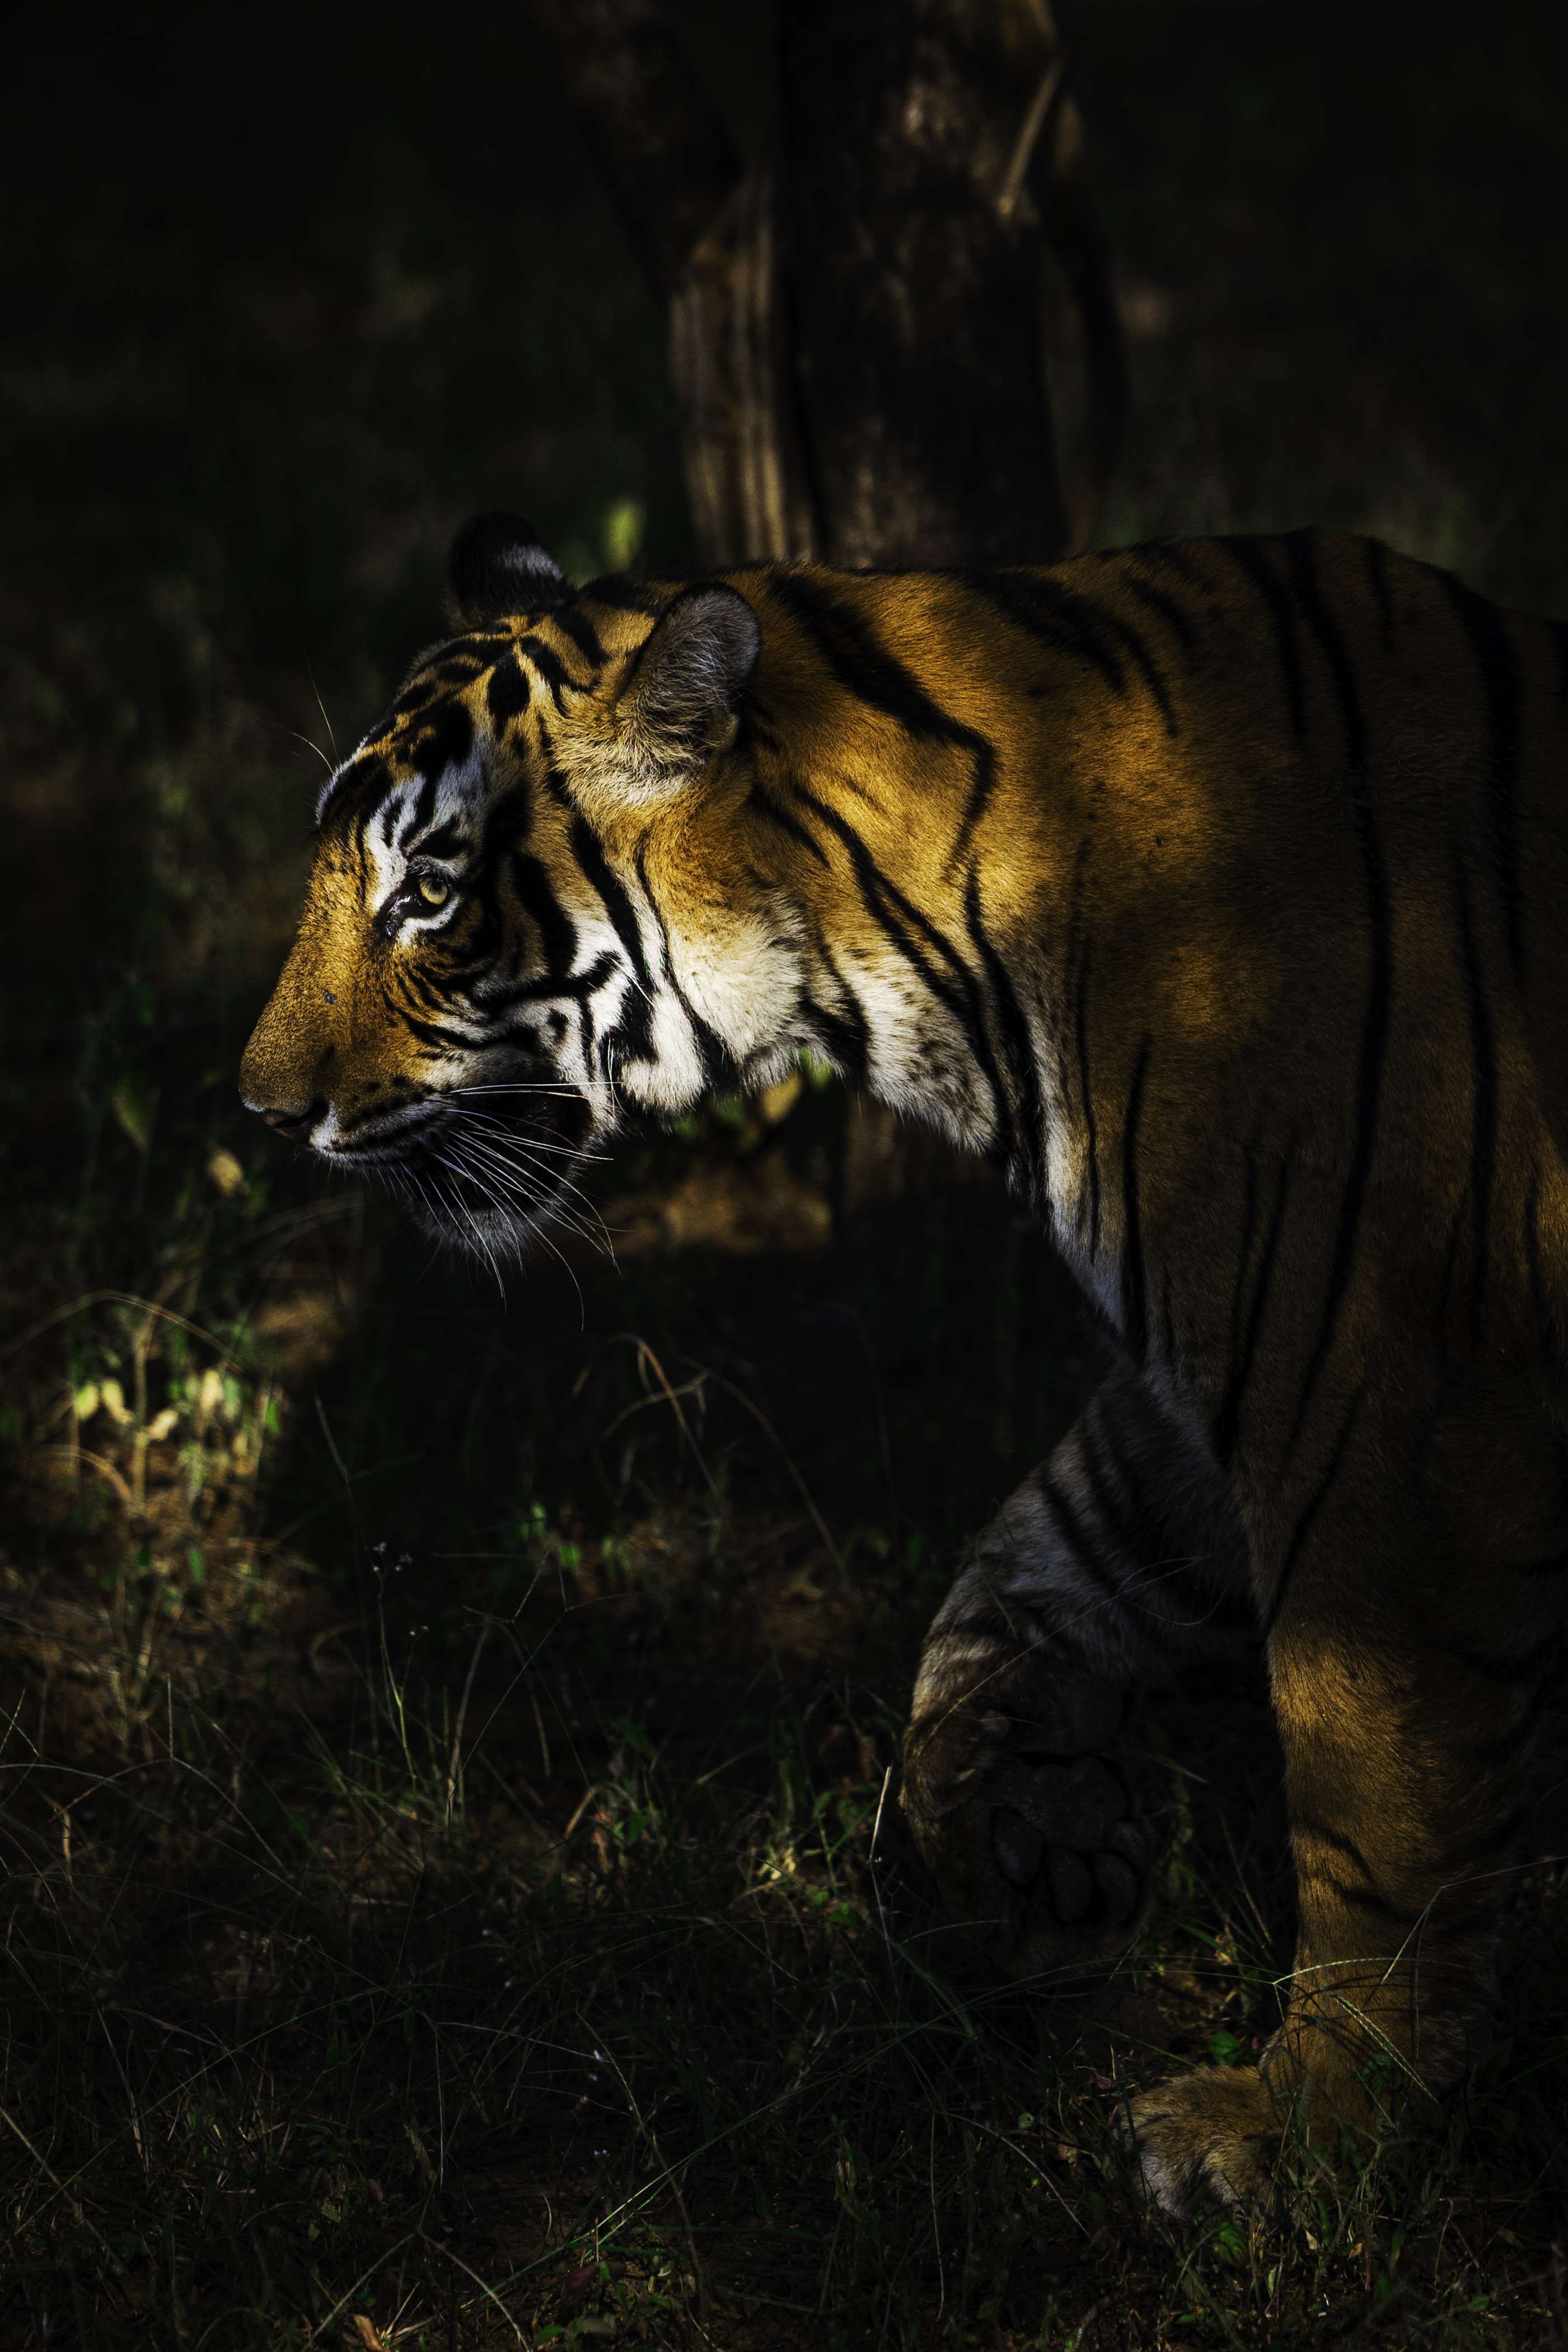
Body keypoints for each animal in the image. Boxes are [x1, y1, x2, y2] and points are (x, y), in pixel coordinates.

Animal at [241, 510, 1568, 2216]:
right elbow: (1010, 1581)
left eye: (424, 892)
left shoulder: (1379, 1386)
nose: (260, 1108)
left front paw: (1305, 2123)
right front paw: (1034, 1855)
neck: (924, 977)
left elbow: (1372, 1785)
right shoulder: (1217, 1370)